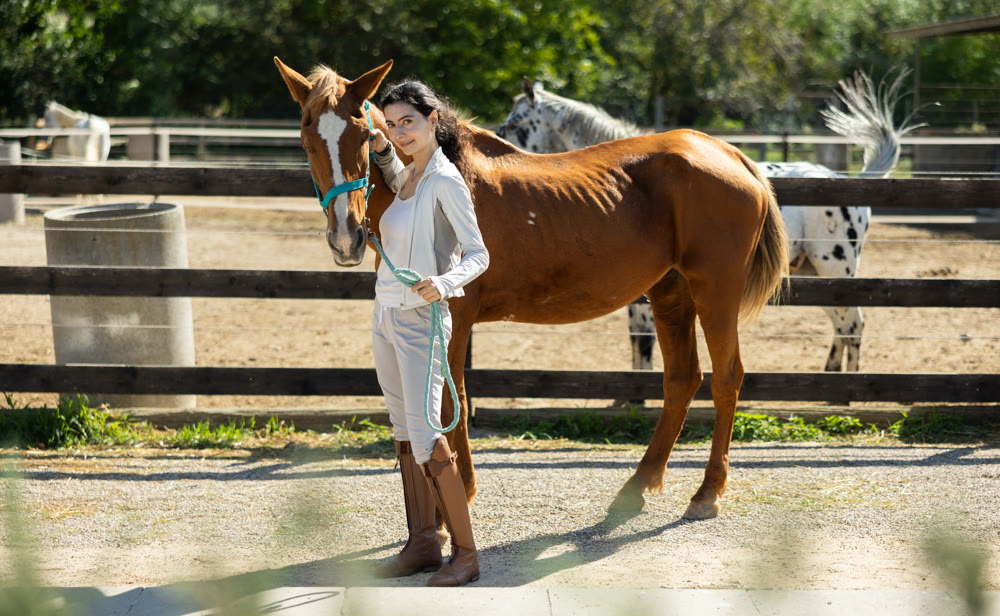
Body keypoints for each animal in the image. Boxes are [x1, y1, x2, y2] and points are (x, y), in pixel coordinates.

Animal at [275, 57, 789, 520]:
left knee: (726, 378)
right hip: (670, 292)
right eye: (305, 139)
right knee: (682, 379)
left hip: (714, 291)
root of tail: (728, 153)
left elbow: (451, 397)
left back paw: (707, 493)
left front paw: (460, 495)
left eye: (363, 135)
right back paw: (637, 486)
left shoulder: (454, 315)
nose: (347, 237)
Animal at [497, 70, 919, 381]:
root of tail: (850, 180)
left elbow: (645, 346)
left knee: (853, 325)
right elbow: (637, 346)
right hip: (815, 274)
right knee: (841, 326)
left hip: (837, 269)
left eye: (517, 124)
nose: (495, 146)